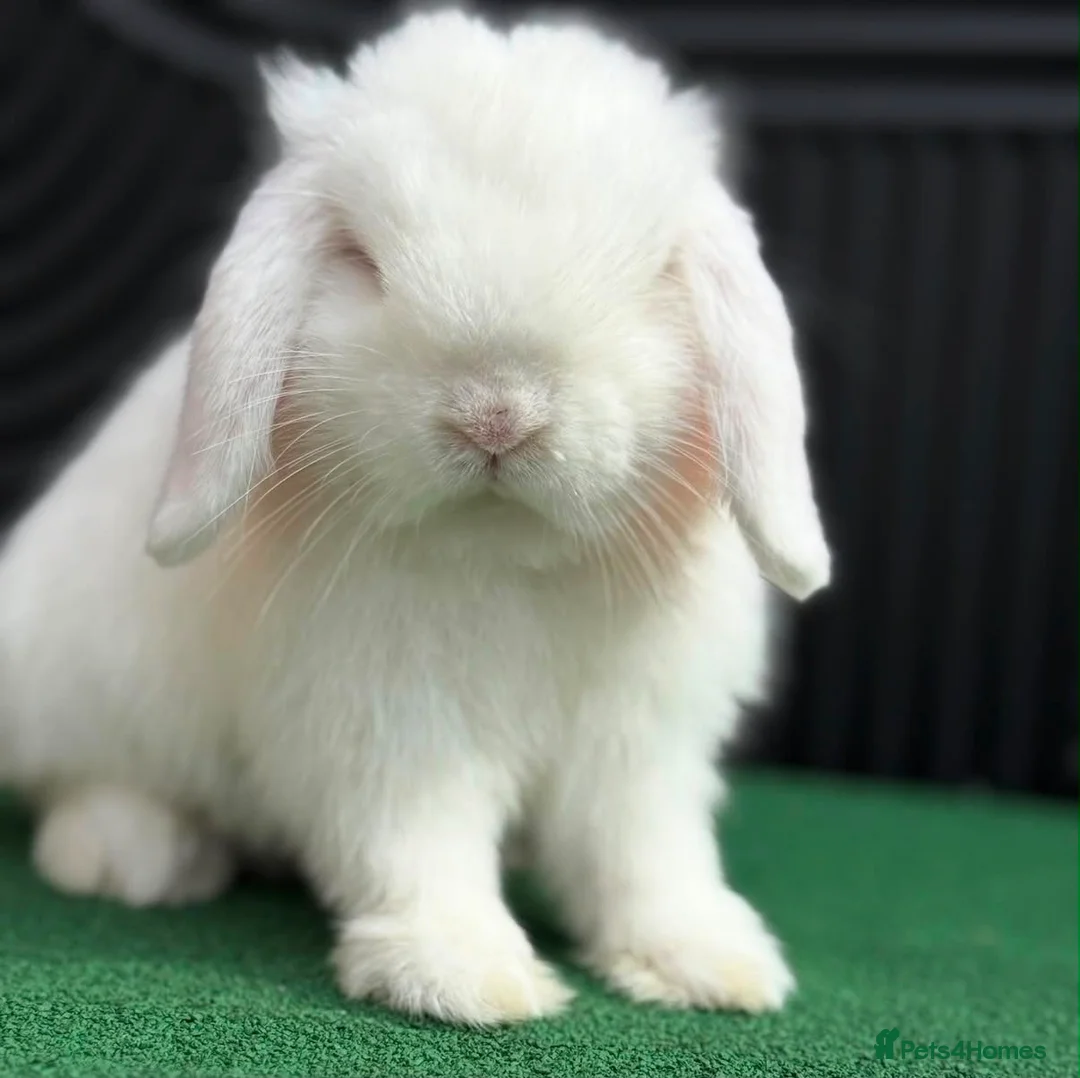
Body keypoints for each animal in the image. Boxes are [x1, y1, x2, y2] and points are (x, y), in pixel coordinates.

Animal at [0, 8, 830, 1025]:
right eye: (363, 263)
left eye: (649, 276)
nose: (498, 414)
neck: (504, 559)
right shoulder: (386, 728)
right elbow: (415, 845)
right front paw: (463, 975)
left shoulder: (640, 745)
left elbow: (643, 855)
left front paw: (706, 964)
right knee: (80, 785)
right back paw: (138, 859)